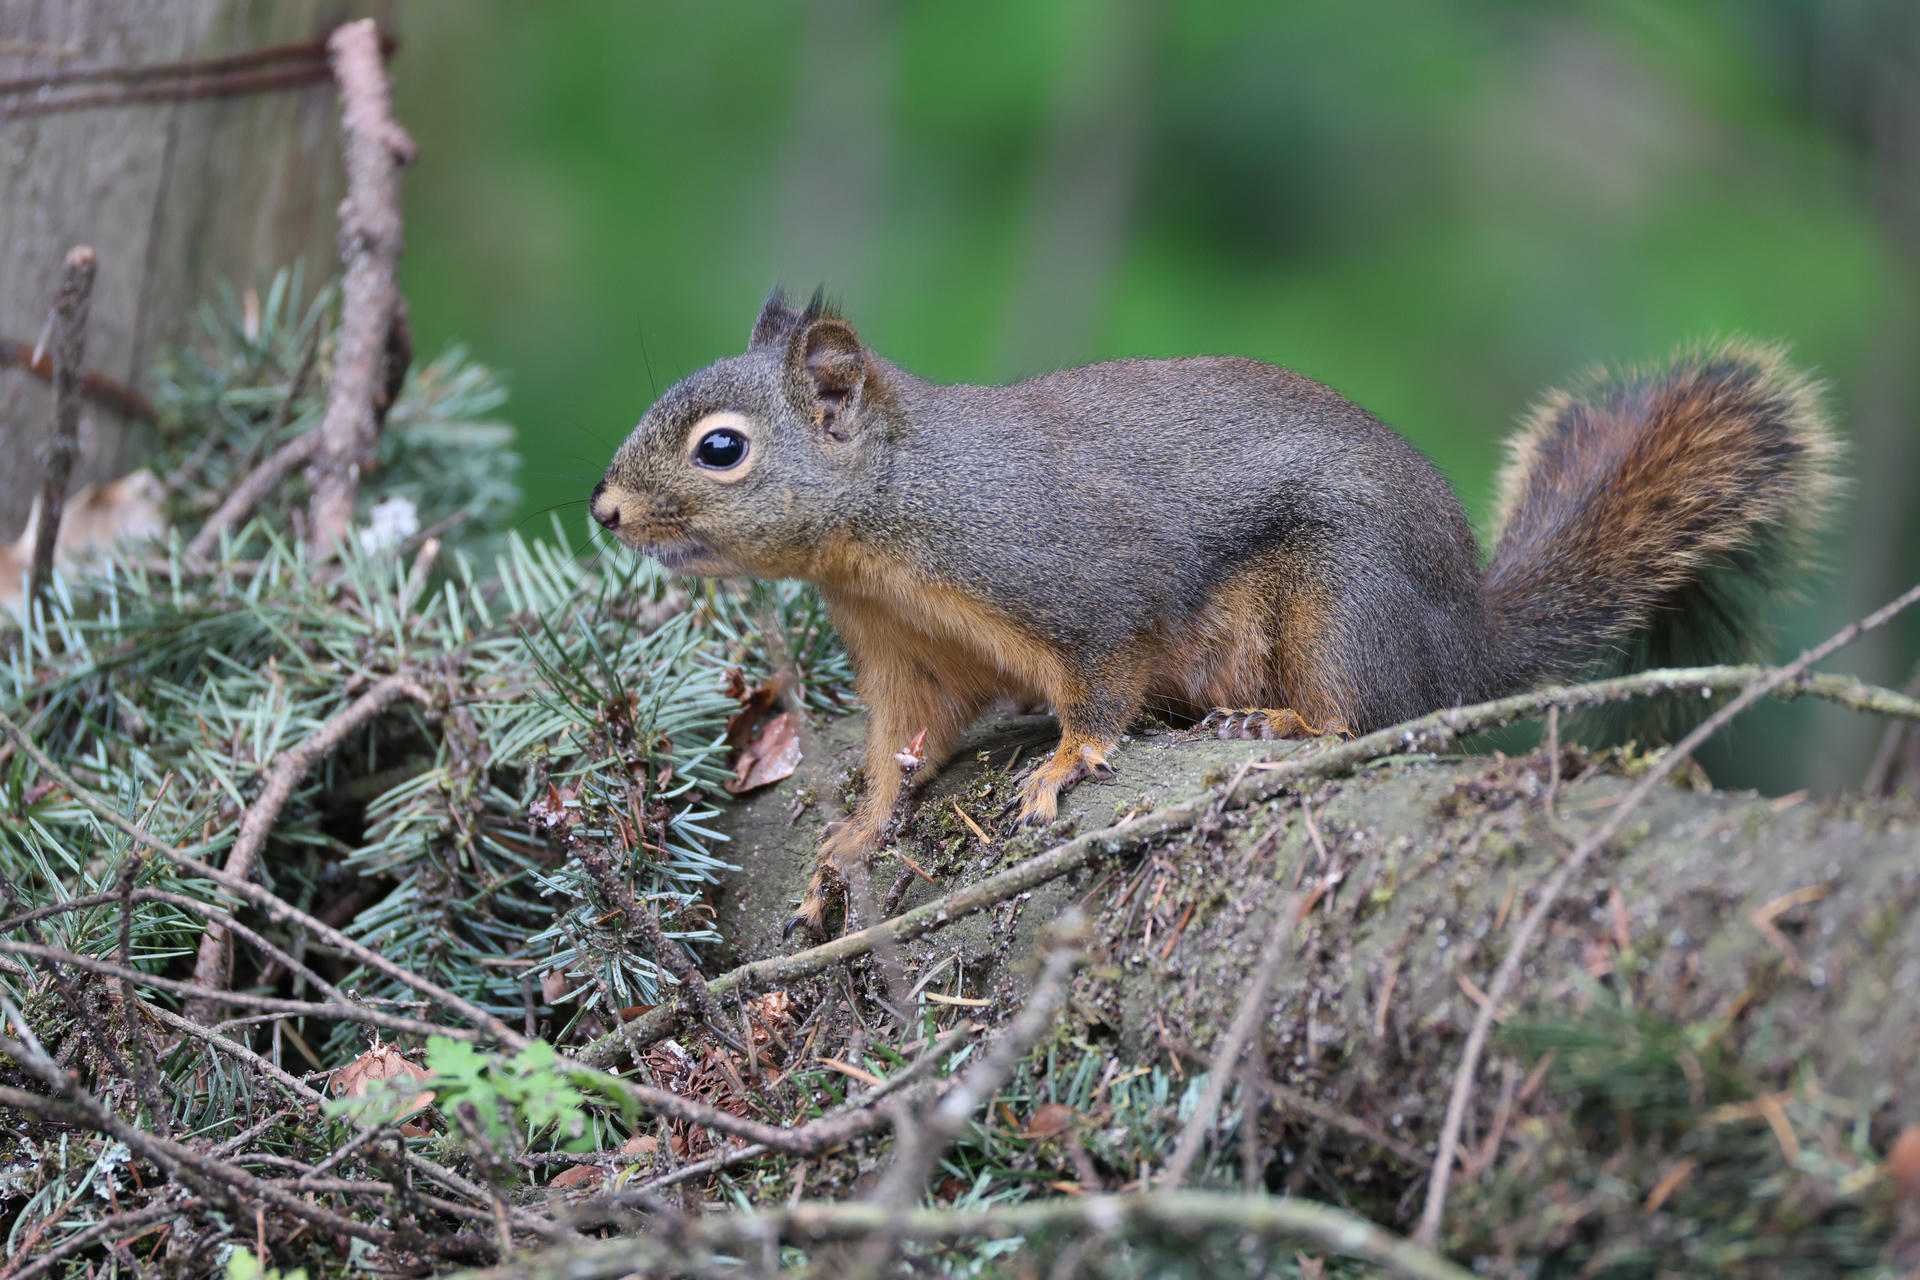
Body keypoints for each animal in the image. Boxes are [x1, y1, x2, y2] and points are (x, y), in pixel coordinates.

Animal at [592, 289, 1840, 937]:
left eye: (721, 450)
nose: (604, 509)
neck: (888, 524)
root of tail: (1466, 638)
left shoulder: (1073, 580)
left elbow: (1100, 681)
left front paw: (1065, 762)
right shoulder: (902, 649)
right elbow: (906, 742)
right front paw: (857, 826)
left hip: (1341, 604)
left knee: (1368, 717)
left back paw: (1272, 724)